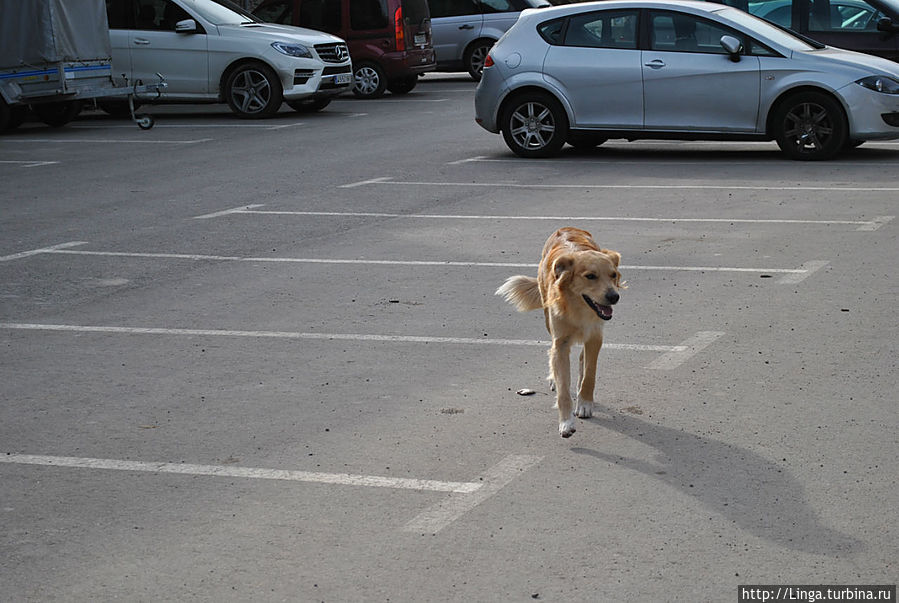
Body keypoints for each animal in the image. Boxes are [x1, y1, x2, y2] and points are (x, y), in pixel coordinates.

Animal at [496, 228, 624, 438]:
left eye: (613, 275)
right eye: (590, 276)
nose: (614, 297)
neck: (578, 306)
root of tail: (568, 228)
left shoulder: (595, 336)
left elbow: (590, 374)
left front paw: (585, 403)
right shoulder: (561, 343)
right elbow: (563, 389)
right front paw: (566, 423)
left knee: (583, 358)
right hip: (548, 318)